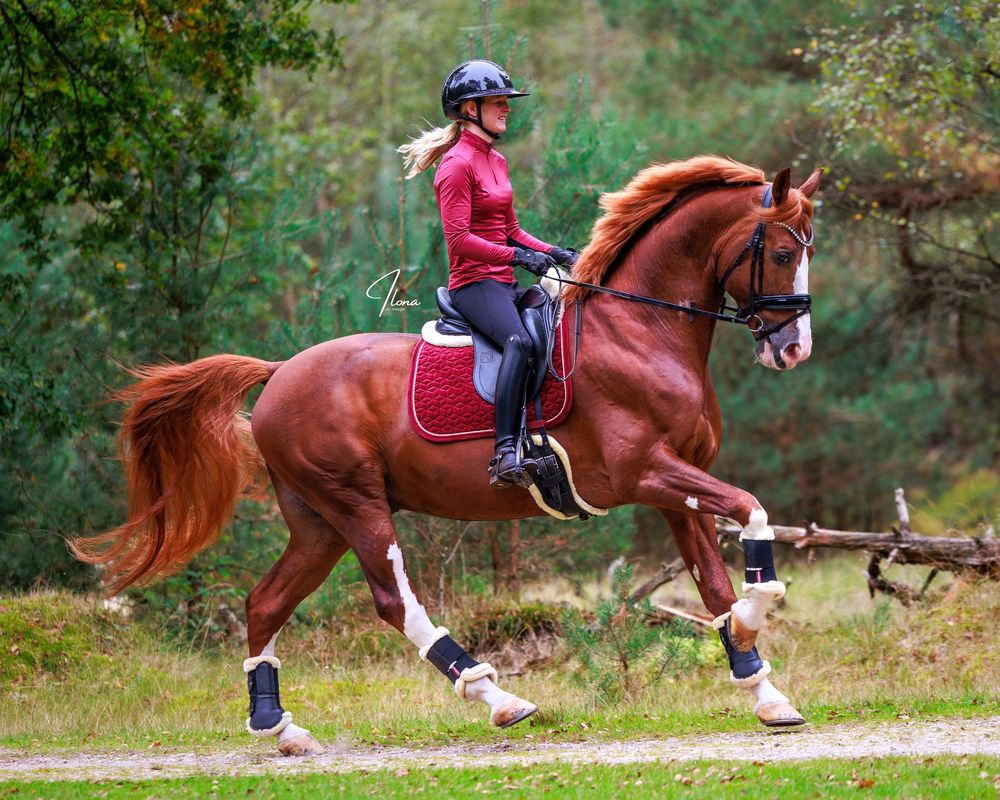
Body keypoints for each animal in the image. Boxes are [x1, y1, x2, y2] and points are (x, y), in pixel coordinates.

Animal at [72, 155, 822, 756]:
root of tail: (280, 370)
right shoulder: (645, 474)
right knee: (394, 602)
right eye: (785, 252)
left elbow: (714, 581)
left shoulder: (677, 487)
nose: (793, 349)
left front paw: (763, 688)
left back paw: (279, 728)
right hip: (356, 504)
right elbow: (753, 515)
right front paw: (759, 613)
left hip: (318, 522)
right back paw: (500, 699)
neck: (641, 329)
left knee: (265, 602)